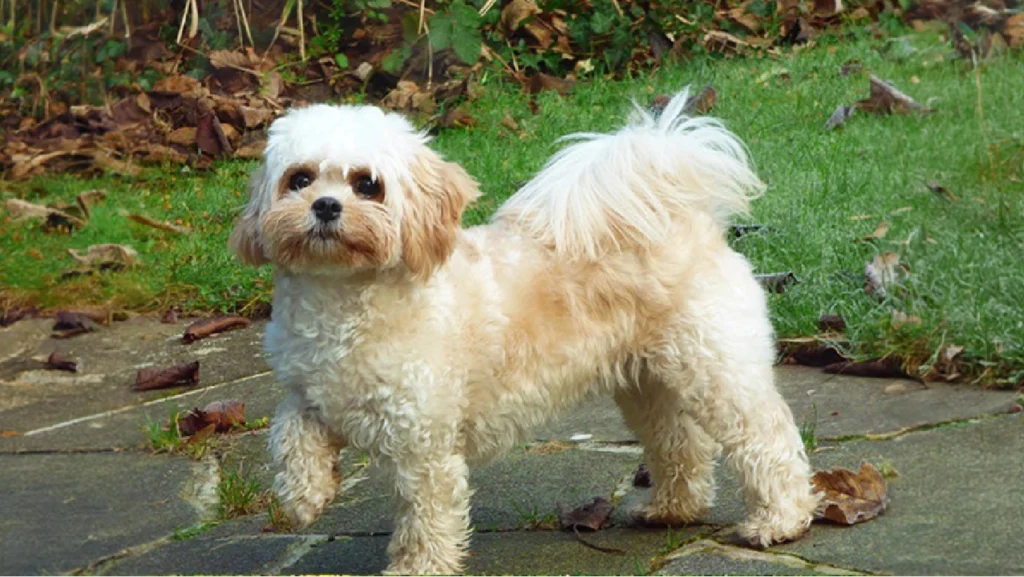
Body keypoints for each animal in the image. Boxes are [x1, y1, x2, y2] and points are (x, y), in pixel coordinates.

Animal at [230, 88, 815, 573]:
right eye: (299, 178)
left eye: (367, 185)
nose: (326, 206)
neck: (344, 302)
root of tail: (683, 217)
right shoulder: (312, 395)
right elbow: (288, 433)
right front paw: (304, 495)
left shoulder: (424, 444)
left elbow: (424, 517)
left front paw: (417, 567)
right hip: (648, 384)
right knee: (681, 443)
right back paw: (673, 509)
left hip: (717, 372)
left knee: (767, 438)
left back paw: (780, 520)